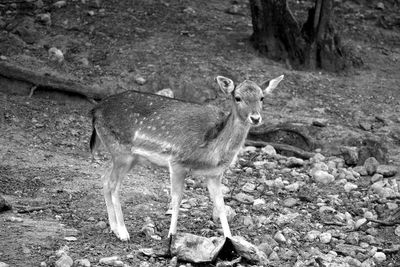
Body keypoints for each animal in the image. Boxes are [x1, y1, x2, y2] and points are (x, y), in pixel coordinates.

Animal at [90, 74, 284, 242]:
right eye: (237, 97)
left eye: (262, 98)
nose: (255, 118)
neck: (213, 151)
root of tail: (95, 110)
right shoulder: (177, 161)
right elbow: (176, 200)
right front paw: (171, 236)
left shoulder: (214, 174)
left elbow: (220, 205)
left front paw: (229, 239)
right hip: (121, 151)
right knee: (113, 184)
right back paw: (123, 232)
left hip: (127, 157)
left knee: (104, 178)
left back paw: (114, 228)